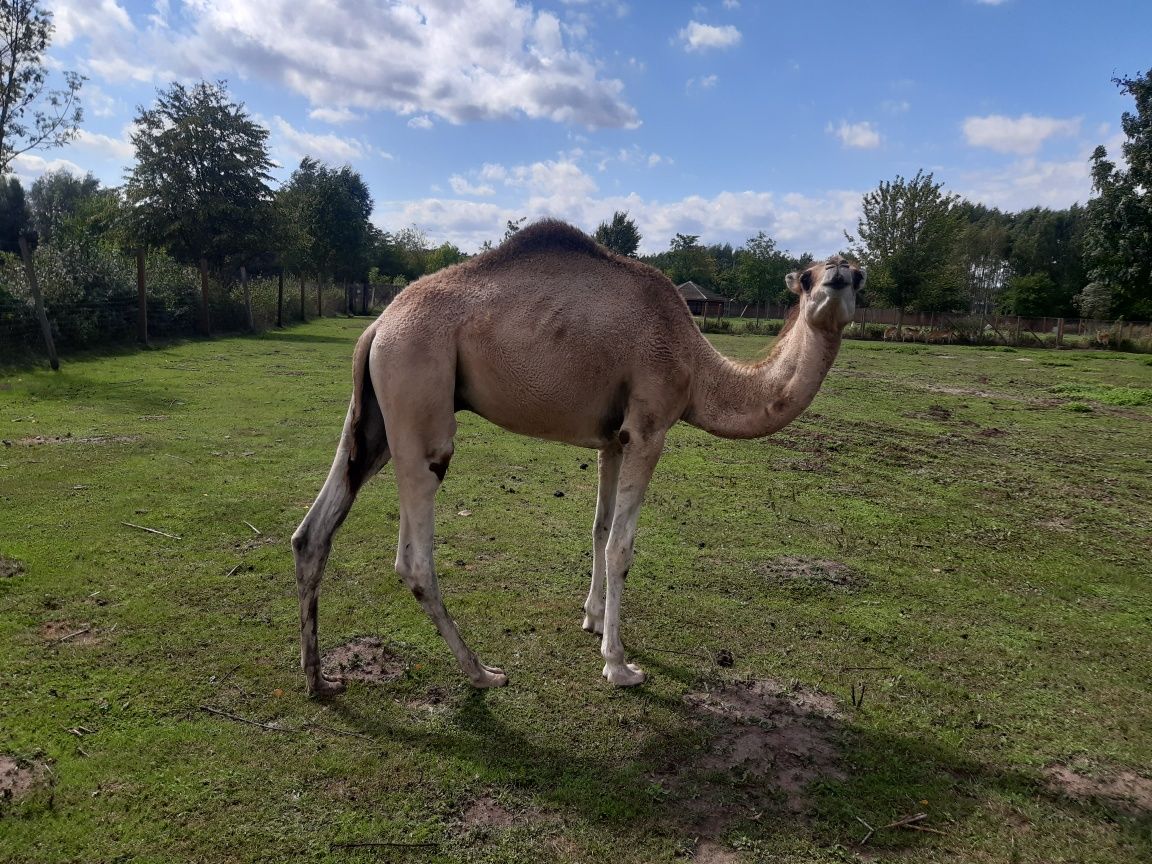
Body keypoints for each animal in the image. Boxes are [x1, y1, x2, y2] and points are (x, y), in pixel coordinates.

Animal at [290, 221, 866, 695]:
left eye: (859, 276)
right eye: (808, 276)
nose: (837, 277)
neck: (698, 368)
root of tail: (378, 324)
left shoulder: (614, 439)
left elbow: (599, 527)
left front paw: (591, 618)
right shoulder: (650, 427)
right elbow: (622, 547)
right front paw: (619, 664)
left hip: (373, 415)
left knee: (312, 532)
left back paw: (320, 680)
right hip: (418, 393)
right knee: (412, 559)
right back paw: (483, 673)